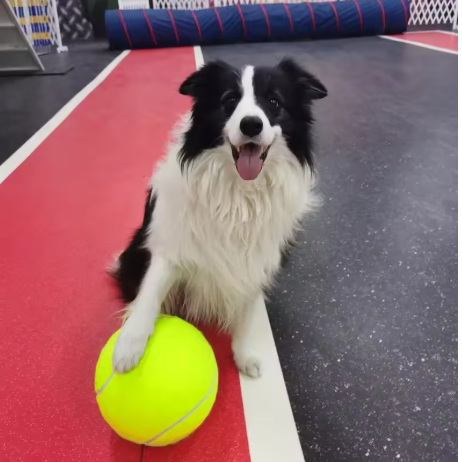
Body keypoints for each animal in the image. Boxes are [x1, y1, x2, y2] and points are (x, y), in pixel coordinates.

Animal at [111, 57, 328, 378]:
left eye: (274, 102)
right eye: (229, 100)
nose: (251, 124)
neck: (239, 193)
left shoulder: (256, 259)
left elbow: (247, 313)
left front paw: (244, 353)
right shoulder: (170, 246)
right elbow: (150, 293)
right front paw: (128, 345)